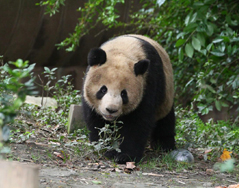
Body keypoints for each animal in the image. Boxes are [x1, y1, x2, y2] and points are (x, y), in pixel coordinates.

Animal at [82, 34, 176, 164]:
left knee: (165, 121)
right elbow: (95, 121)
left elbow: (137, 124)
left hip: (166, 95)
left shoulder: (147, 84)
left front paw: (124, 156)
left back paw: (164, 145)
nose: (111, 110)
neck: (122, 52)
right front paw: (104, 147)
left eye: (124, 94)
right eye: (103, 90)